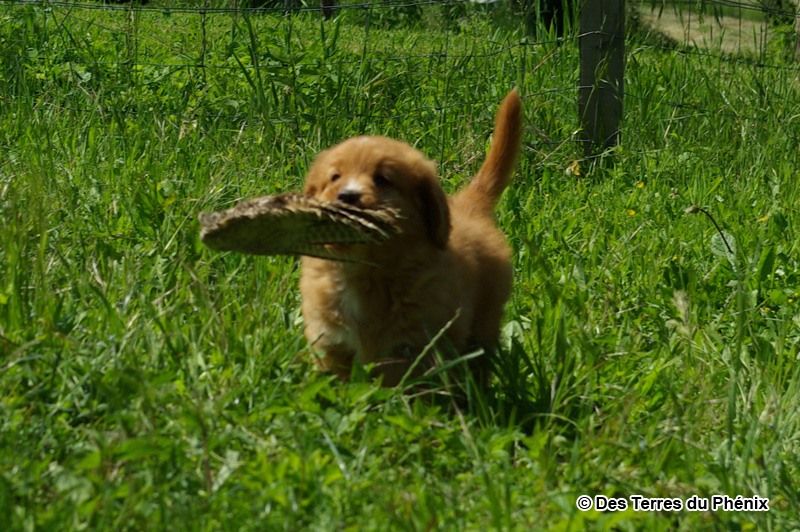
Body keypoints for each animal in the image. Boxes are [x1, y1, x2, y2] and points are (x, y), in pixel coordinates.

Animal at [299, 89, 522, 386]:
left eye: (383, 179)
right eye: (335, 177)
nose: (347, 196)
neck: (365, 272)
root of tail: (470, 206)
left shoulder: (415, 344)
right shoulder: (331, 343)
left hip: (484, 322)